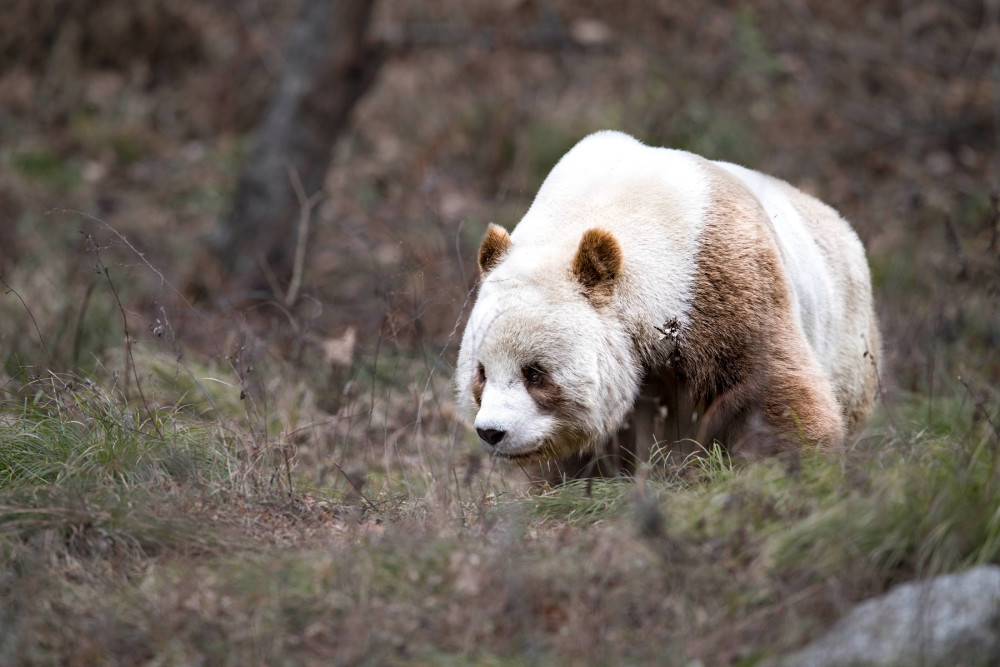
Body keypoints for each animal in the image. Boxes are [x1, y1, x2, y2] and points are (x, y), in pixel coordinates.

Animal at [458, 130, 880, 474]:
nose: (492, 432)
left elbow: (770, 390)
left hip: (848, 338)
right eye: (481, 372)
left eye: (535, 373)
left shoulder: (722, 285)